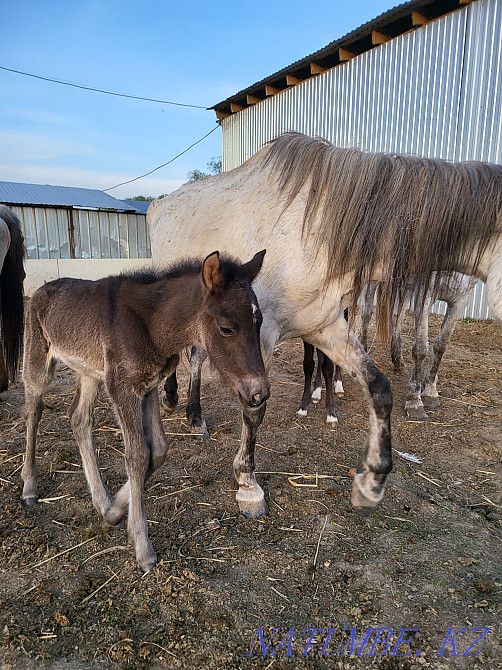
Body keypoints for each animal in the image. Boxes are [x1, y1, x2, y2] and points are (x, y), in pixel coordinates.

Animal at [21, 251, 269, 572]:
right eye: (226, 328)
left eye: (259, 322)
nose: (259, 393)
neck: (153, 326)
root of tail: (41, 290)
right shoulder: (123, 388)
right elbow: (138, 455)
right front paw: (142, 547)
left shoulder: (150, 386)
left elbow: (159, 450)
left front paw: (114, 513)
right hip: (38, 359)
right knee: (33, 411)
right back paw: (29, 487)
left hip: (89, 371)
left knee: (79, 418)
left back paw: (102, 501)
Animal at [360, 273, 477, 419]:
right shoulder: (423, 295)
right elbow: (420, 349)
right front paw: (414, 401)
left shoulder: (461, 298)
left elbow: (441, 344)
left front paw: (430, 391)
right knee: (366, 312)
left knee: (396, 316)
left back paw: (398, 362)